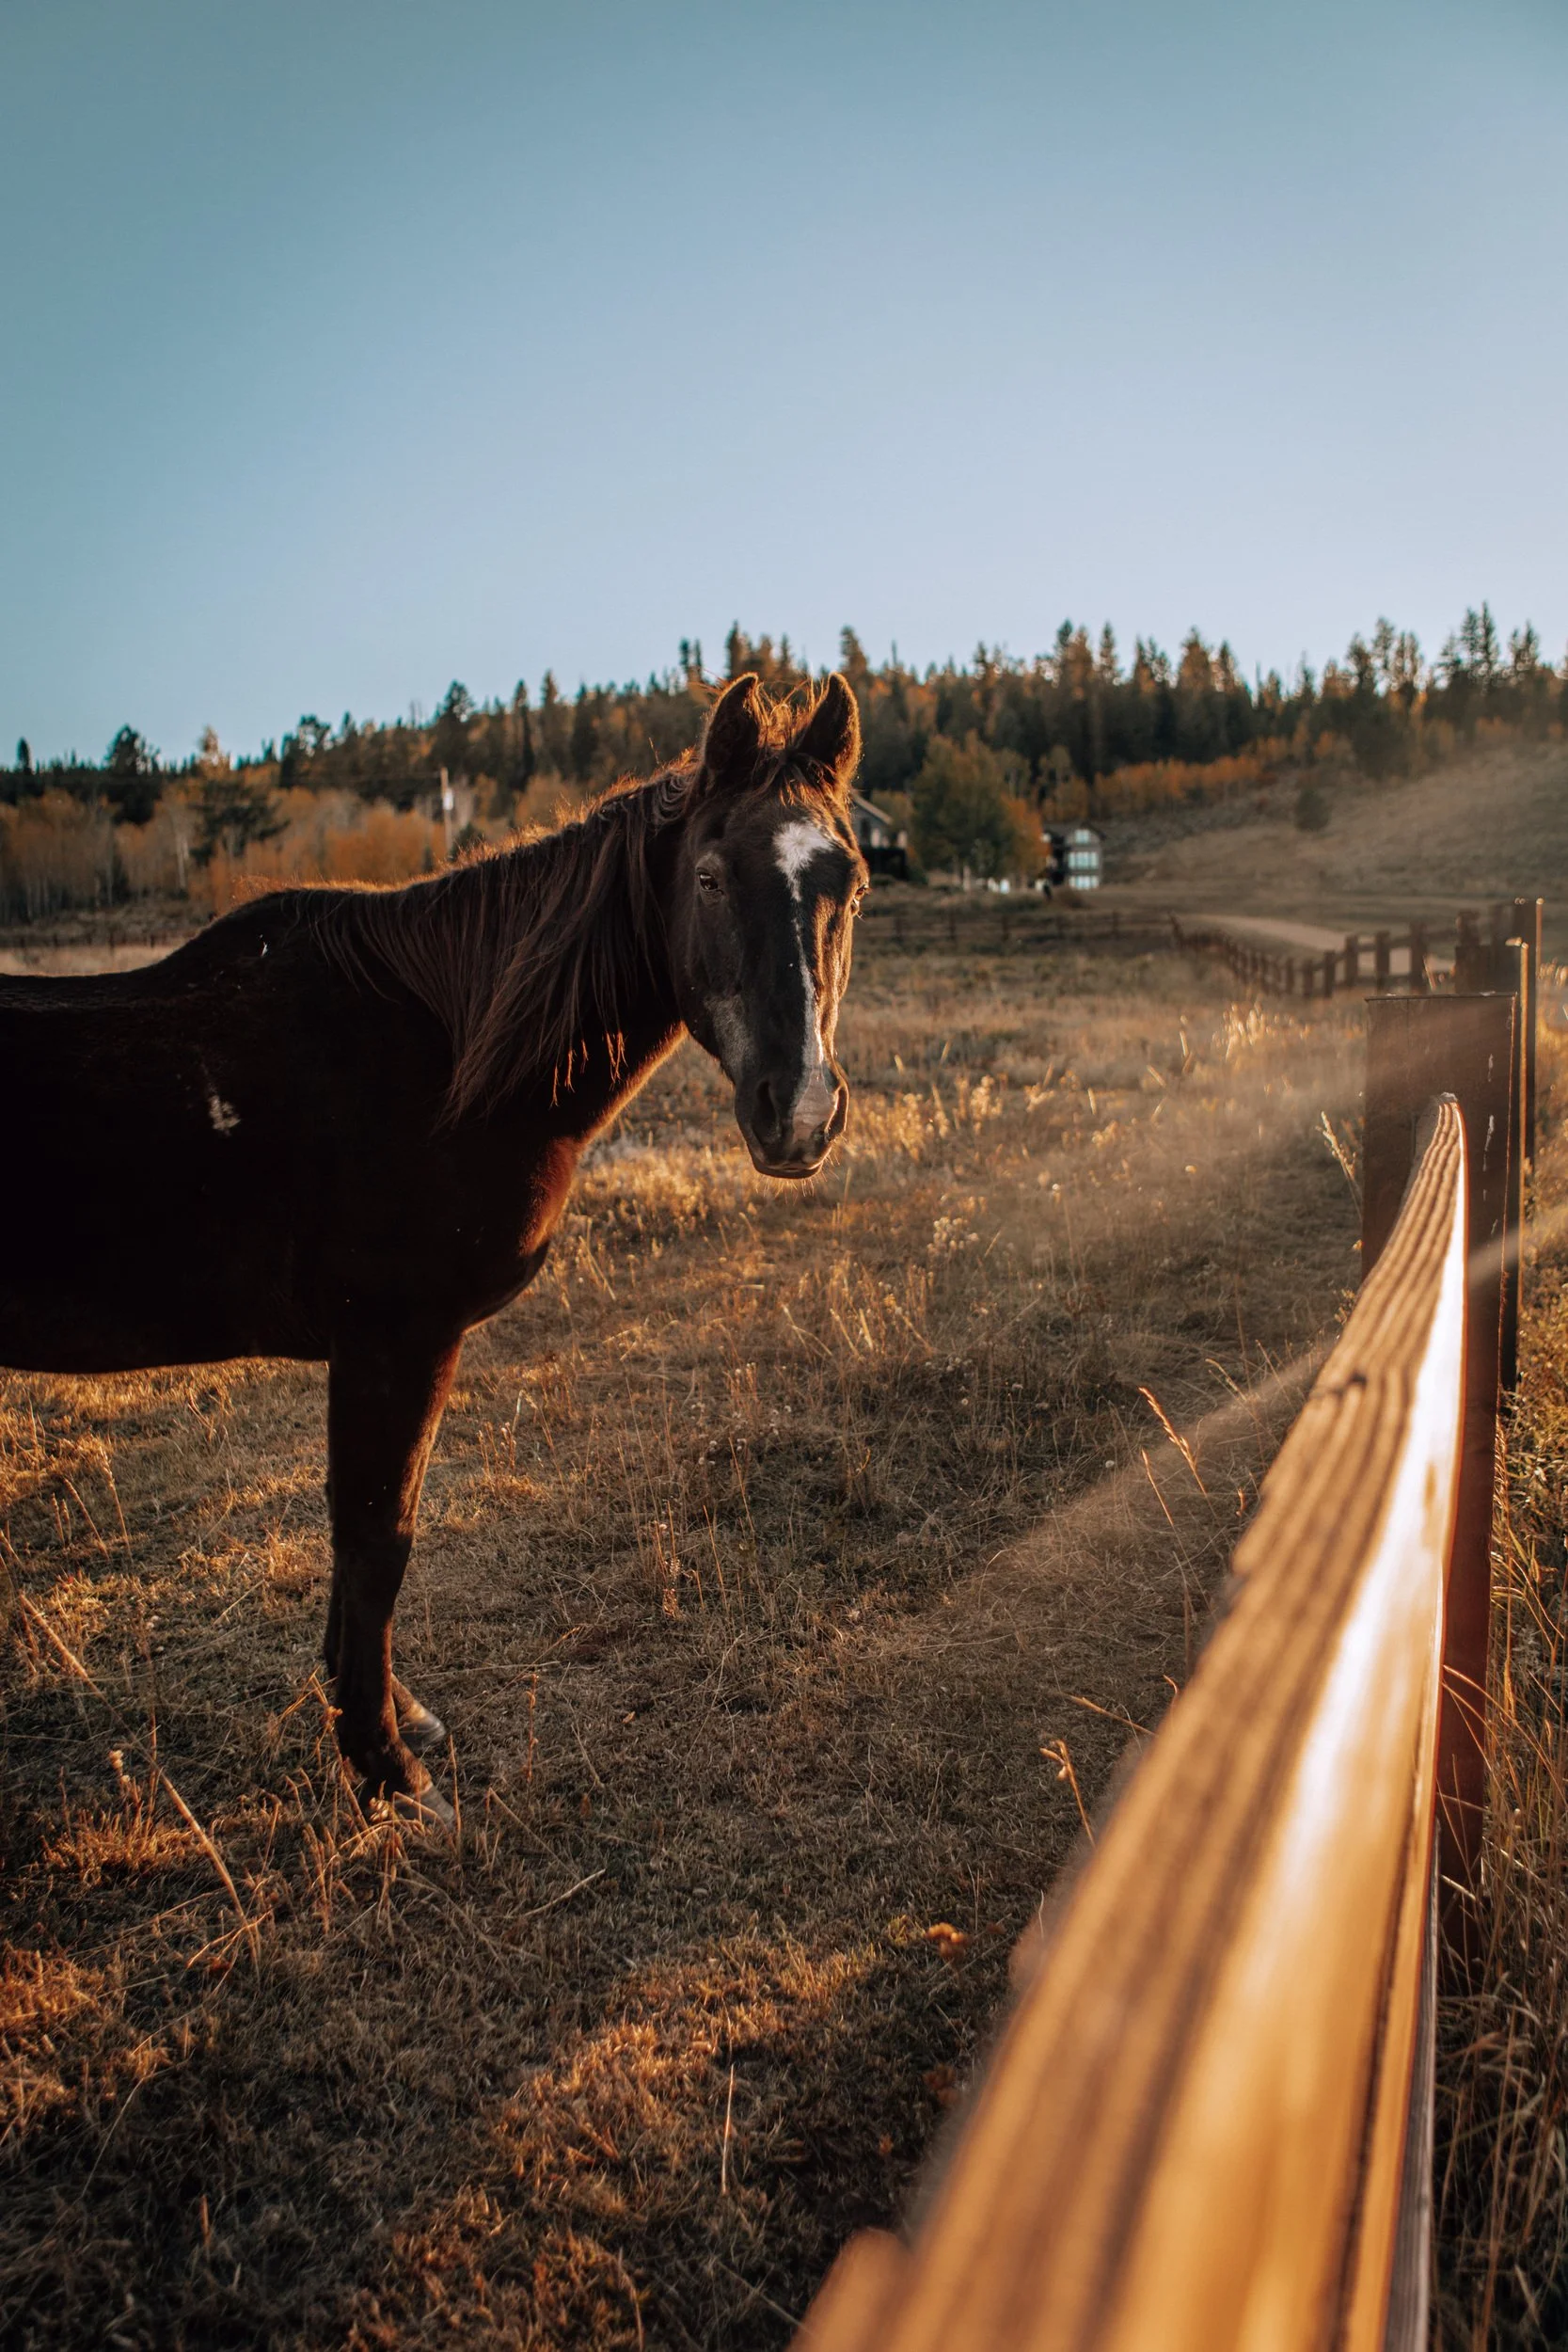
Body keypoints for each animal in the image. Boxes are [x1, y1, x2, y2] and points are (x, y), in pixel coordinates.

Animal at [0, 671, 867, 1821]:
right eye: (712, 876)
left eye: (850, 886)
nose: (798, 1111)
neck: (439, 1058)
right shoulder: (392, 1342)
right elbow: (379, 1537)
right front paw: (386, 1771)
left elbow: (372, 1532)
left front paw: (386, 1718)